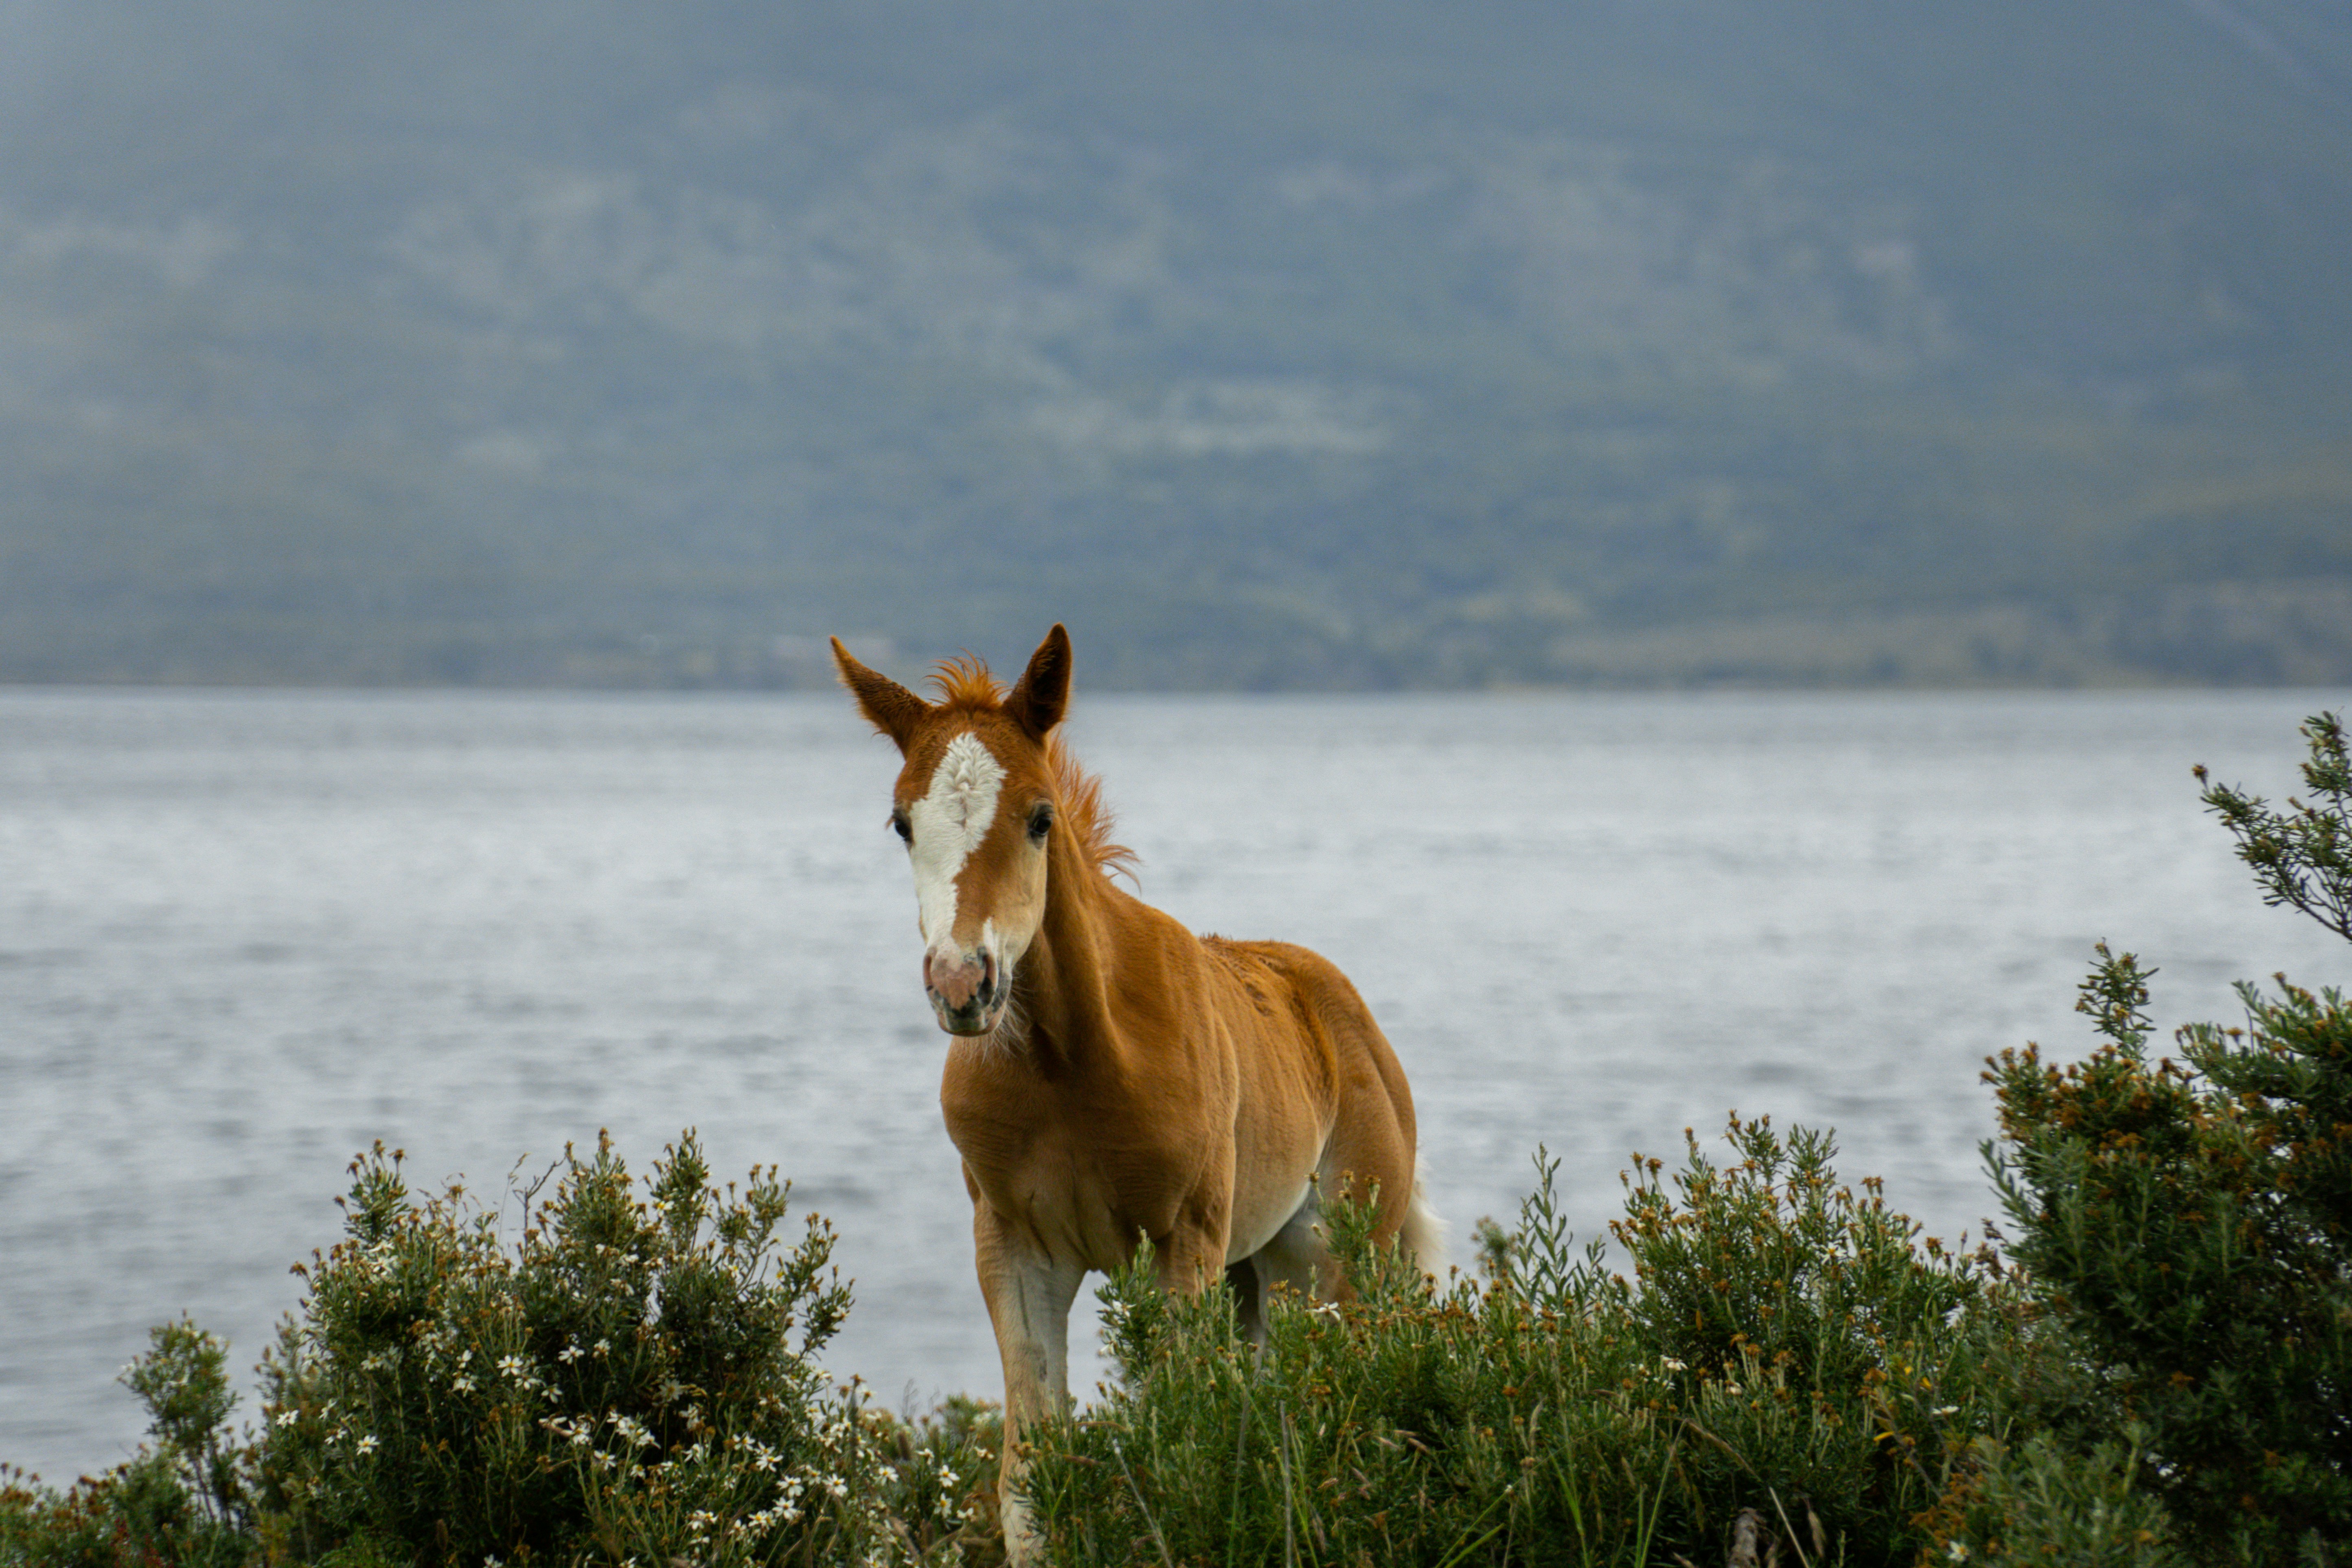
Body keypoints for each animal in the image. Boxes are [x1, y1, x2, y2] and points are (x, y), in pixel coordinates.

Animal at [832, 623, 1437, 1560]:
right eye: (901, 821)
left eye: (1040, 816)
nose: (963, 983)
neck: (1072, 1069)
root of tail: (1349, 1014)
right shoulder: (1014, 1249)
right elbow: (1028, 1477)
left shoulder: (1180, 1242)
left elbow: (1179, 1462)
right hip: (1254, 1274)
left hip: (1333, 1260)